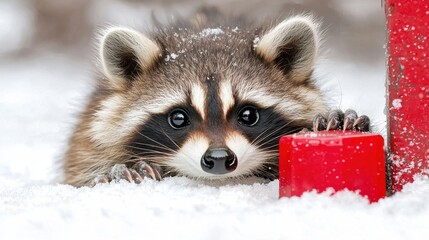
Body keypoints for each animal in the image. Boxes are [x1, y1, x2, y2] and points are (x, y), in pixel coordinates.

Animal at [62, 12, 368, 188]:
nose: (219, 159)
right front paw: (117, 172)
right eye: (178, 118)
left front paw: (339, 120)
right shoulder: (88, 148)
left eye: (248, 115)